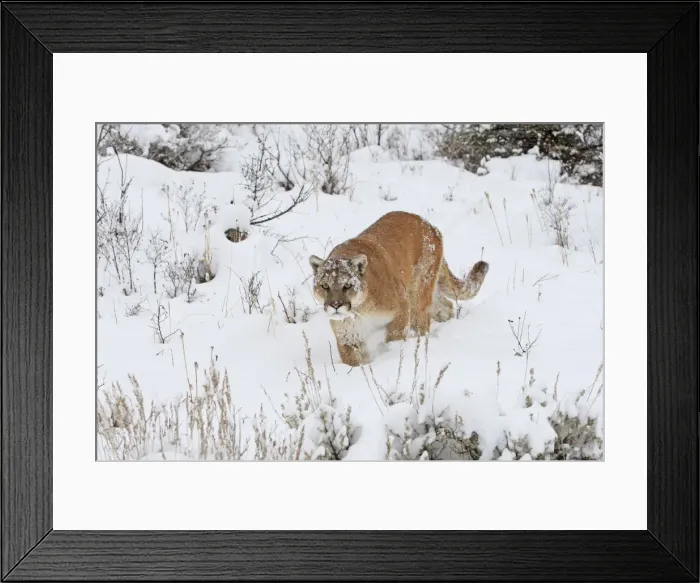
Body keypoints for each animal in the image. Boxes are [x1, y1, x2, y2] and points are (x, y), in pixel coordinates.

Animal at [309, 211, 489, 367]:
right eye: (325, 285)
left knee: (422, 320)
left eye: (347, 285)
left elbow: (395, 334)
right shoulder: (349, 336)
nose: (335, 305)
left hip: (418, 291)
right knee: (446, 306)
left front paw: (393, 353)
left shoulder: (402, 303)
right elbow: (355, 360)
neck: (359, 310)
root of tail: (429, 224)